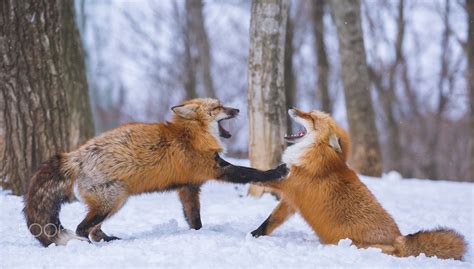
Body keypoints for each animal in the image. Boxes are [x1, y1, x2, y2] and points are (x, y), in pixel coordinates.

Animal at [24, 97, 286, 246]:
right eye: (218, 107)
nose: (238, 109)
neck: (192, 135)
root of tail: (74, 155)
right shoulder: (216, 169)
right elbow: (251, 172)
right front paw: (277, 171)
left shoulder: (188, 187)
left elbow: (194, 219)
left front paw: (198, 234)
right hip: (113, 200)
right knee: (81, 228)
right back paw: (89, 246)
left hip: (114, 202)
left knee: (93, 230)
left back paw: (110, 240)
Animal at [252, 107, 466, 260]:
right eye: (309, 112)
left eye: (312, 117)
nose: (291, 108)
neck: (319, 156)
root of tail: (399, 238)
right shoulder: (291, 200)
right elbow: (270, 221)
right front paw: (254, 235)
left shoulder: (289, 184)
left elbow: (257, 176)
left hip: (360, 246)